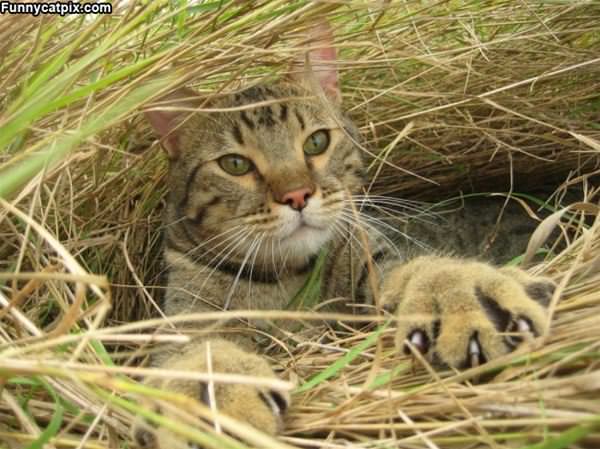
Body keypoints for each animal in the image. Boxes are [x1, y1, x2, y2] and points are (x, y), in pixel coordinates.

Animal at [134, 23, 556, 448]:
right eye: (235, 164)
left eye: (316, 141)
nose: (297, 195)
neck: (285, 277)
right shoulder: (190, 311)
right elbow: (196, 349)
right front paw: (214, 393)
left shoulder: (374, 254)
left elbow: (421, 269)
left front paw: (456, 291)